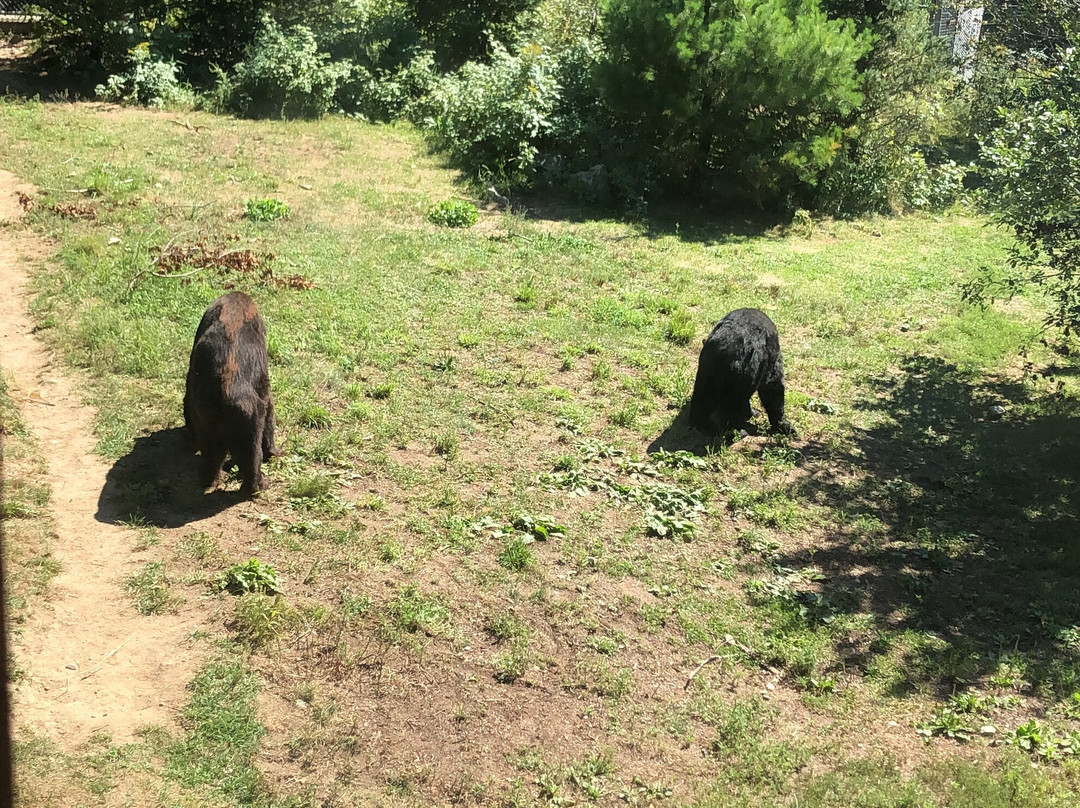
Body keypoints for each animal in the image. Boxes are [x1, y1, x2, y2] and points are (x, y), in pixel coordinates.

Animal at [181, 289, 276, 492]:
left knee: (211, 460)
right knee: (251, 461)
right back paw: (257, 485)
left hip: (208, 424)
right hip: (249, 426)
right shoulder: (264, 390)